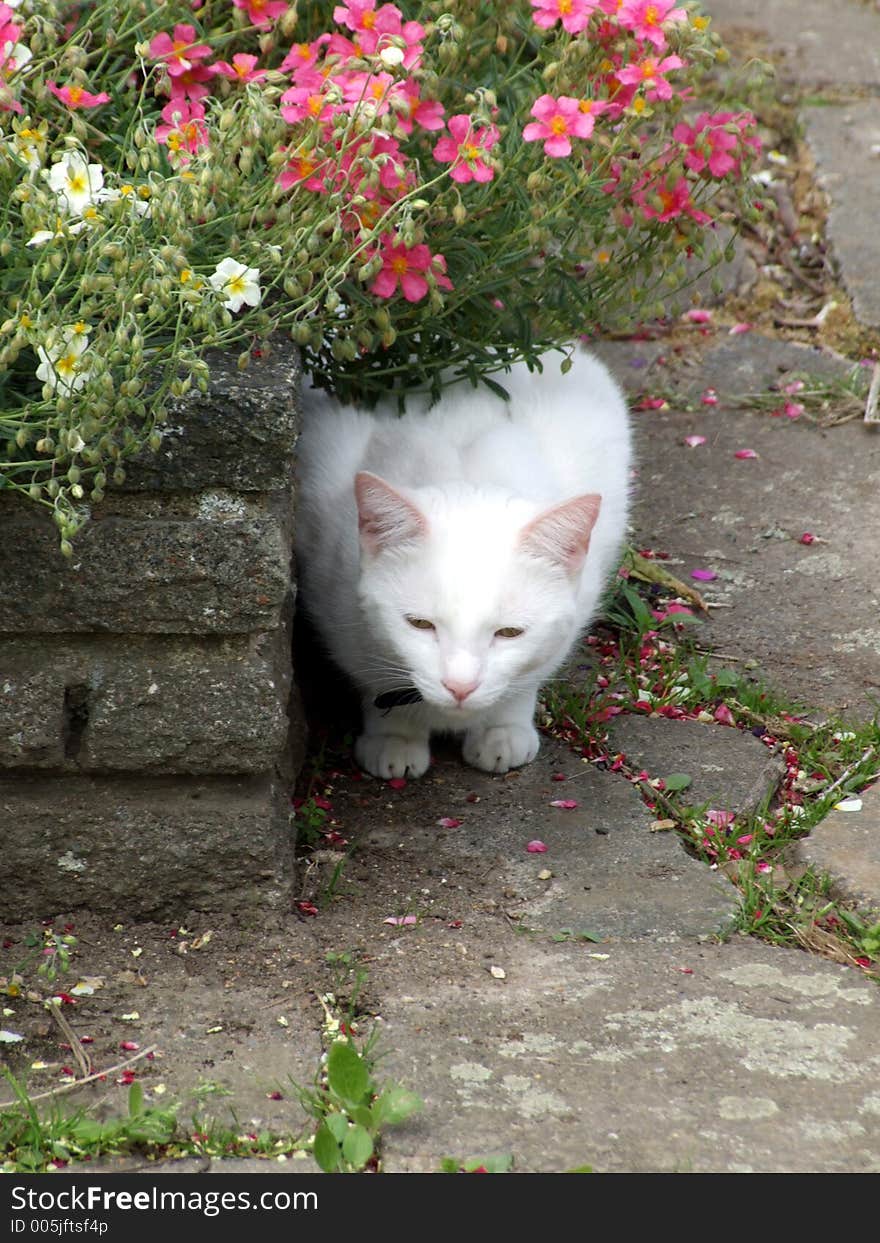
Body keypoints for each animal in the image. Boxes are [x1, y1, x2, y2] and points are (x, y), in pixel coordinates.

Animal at [295, 350, 631, 775]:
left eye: (509, 633)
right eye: (420, 624)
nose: (460, 686)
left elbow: (525, 681)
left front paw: (502, 729)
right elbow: (380, 684)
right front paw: (395, 738)